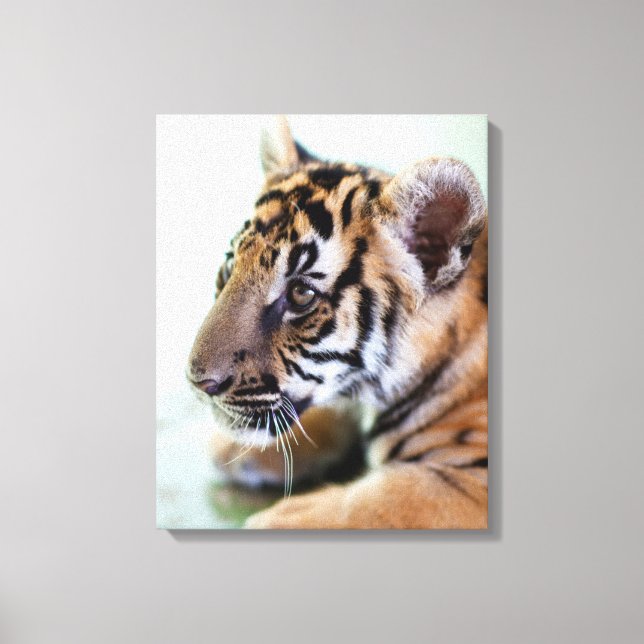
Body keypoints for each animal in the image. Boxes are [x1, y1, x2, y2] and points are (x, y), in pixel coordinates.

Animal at [187, 117, 488, 529]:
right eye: (231, 265)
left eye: (301, 294)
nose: (198, 383)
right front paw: (236, 445)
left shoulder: (471, 481)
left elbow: (387, 498)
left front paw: (278, 520)